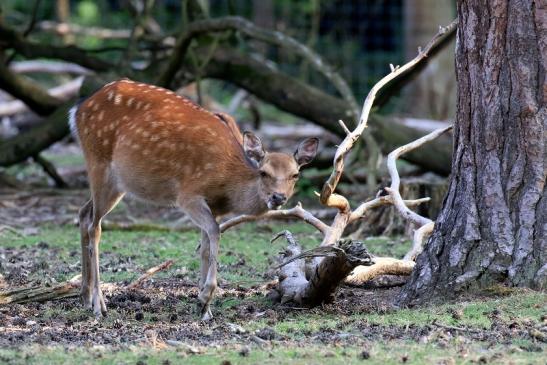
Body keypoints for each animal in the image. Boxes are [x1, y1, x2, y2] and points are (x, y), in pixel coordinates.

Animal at [69, 79, 318, 318]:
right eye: (263, 172)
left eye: (295, 174)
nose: (278, 197)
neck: (227, 182)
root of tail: (77, 109)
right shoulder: (188, 195)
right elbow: (215, 232)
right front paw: (205, 297)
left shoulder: (216, 206)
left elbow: (206, 244)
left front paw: (204, 309)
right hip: (99, 164)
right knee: (95, 226)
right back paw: (99, 304)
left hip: (117, 183)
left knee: (84, 213)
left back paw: (84, 297)